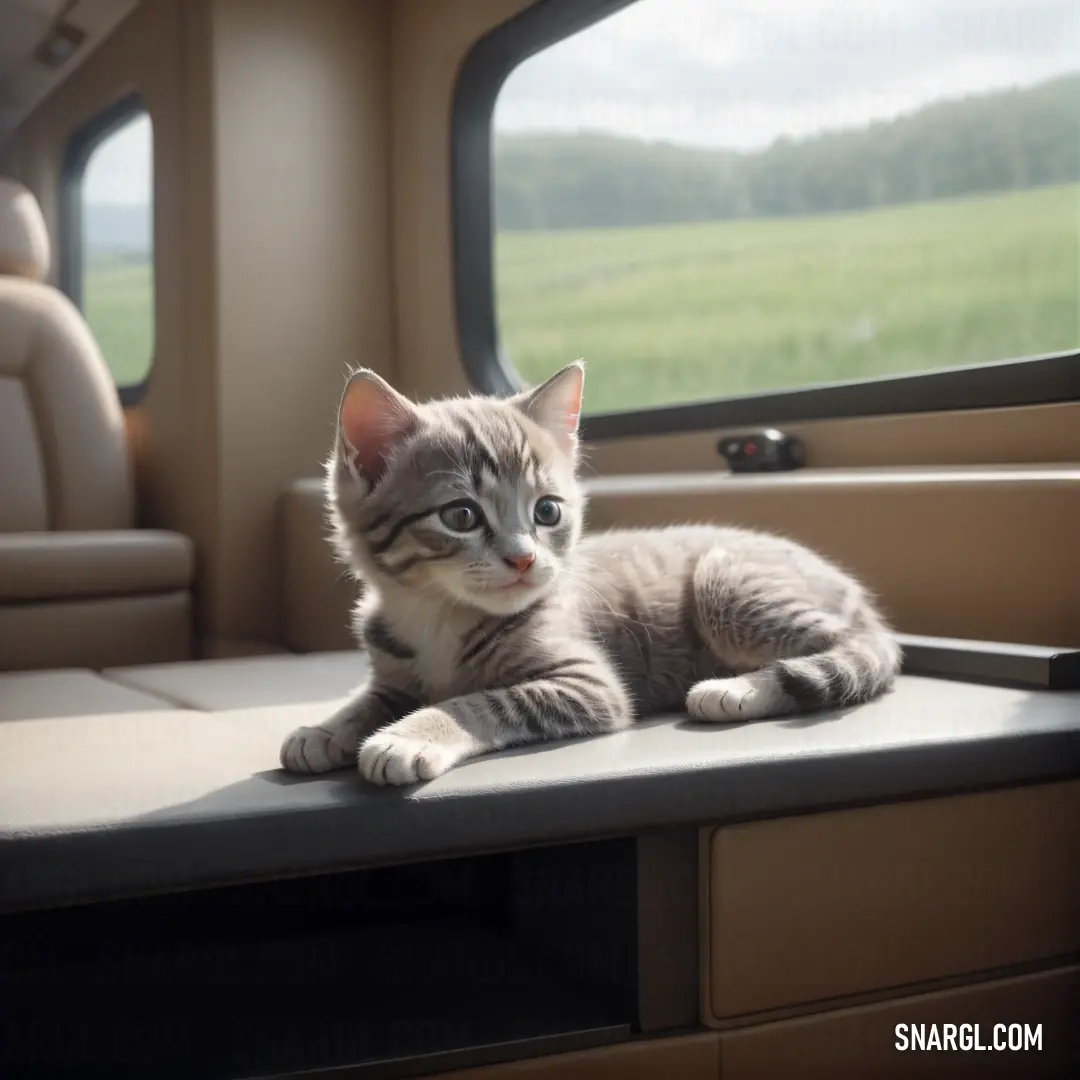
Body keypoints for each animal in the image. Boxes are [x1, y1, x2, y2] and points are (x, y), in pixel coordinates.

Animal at [274, 362, 898, 786]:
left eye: (547, 511)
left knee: (852, 654)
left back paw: (736, 689)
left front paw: (410, 733)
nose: (524, 559)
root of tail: (860, 599)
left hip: (727, 586)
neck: (437, 615)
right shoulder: (393, 667)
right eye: (461, 516)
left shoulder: (589, 684)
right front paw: (325, 729)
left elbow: (479, 701)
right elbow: (369, 697)